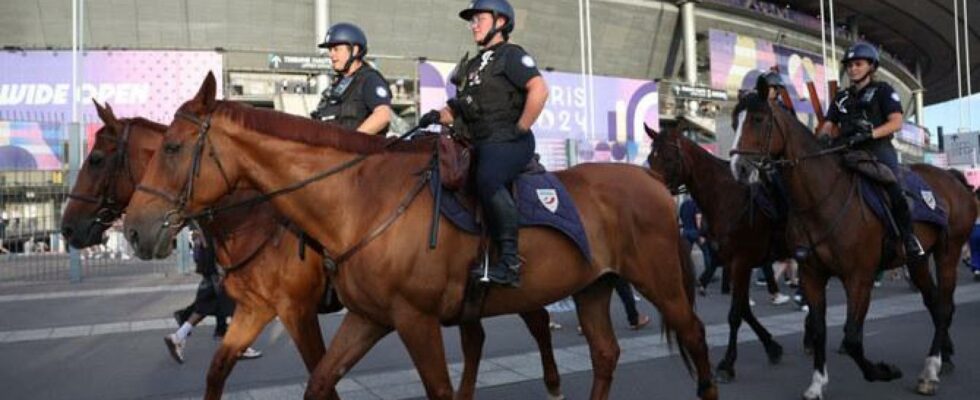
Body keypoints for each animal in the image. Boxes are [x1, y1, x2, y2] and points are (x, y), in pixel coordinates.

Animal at [61, 102, 564, 400]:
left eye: (97, 159)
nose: (68, 229)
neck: (253, 215)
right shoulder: (258, 308)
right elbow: (218, 370)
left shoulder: (296, 311)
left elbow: (320, 374)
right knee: (476, 337)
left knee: (538, 319)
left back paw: (554, 380)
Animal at [124, 73, 720, 398]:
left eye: (172, 149)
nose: (133, 229)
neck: (358, 201)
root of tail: (650, 181)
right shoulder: (362, 318)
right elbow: (315, 382)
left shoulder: (407, 320)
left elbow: (436, 388)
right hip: (591, 286)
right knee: (604, 354)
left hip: (659, 281)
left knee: (692, 333)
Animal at [648, 120, 784, 382]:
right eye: (651, 158)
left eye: (669, 158)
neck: (726, 198)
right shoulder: (734, 263)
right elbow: (743, 310)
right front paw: (771, 346)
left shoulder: (742, 261)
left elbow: (735, 314)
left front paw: (727, 363)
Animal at [728, 90, 972, 400]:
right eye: (734, 122)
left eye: (758, 120)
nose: (739, 168)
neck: (821, 198)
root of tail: (953, 177)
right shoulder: (811, 274)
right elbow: (819, 329)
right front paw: (817, 383)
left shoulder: (859, 277)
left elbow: (853, 337)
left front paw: (883, 371)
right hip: (917, 260)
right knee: (933, 302)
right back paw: (943, 358)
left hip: (948, 253)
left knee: (944, 306)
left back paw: (930, 370)